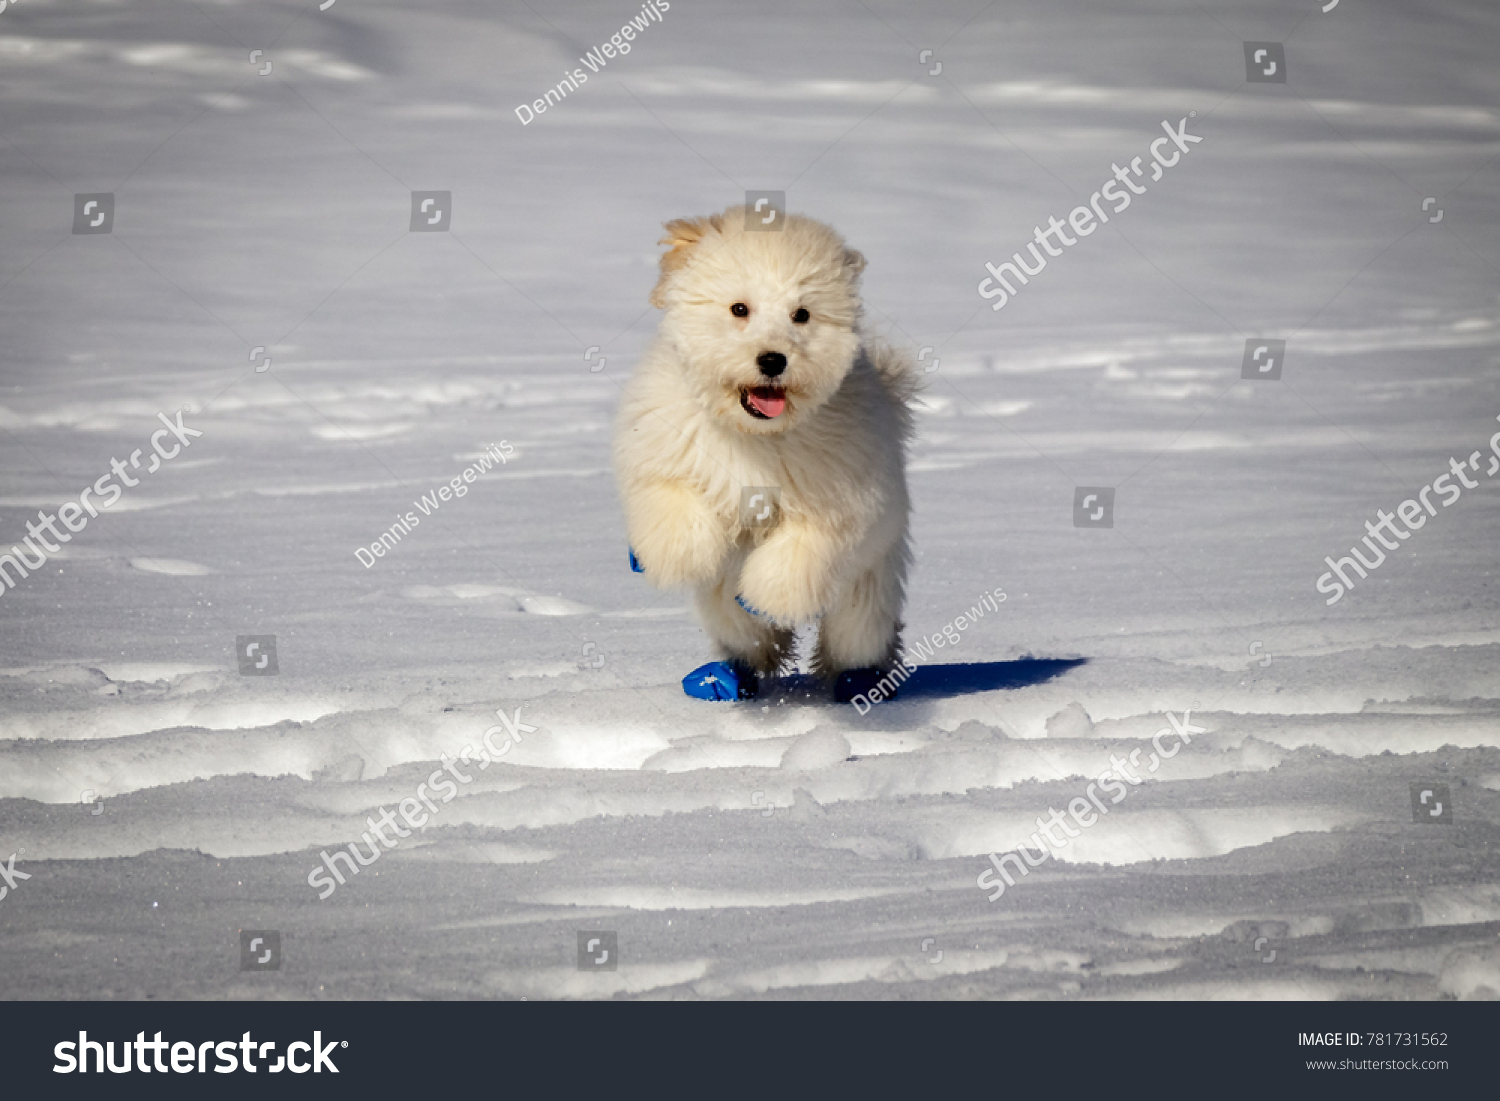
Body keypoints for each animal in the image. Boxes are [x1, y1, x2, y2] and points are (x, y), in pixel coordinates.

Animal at [615, 204, 918, 702]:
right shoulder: (665, 454)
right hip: (724, 613)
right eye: (739, 308)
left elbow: (795, 556)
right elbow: (674, 506)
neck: (754, 434)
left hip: (869, 580)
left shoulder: (840, 504)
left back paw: (860, 679)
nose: (773, 359)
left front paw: (764, 593)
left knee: (859, 632)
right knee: (742, 632)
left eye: (802, 314)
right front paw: (685, 555)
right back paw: (727, 676)